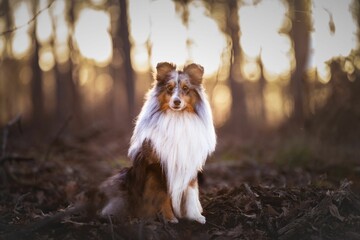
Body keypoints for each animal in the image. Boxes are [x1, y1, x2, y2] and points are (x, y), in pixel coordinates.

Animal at [100, 62, 215, 224]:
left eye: (186, 88)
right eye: (169, 88)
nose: (177, 101)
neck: (177, 118)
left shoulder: (188, 162)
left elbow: (192, 191)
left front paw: (196, 216)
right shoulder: (158, 165)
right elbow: (163, 194)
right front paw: (170, 218)